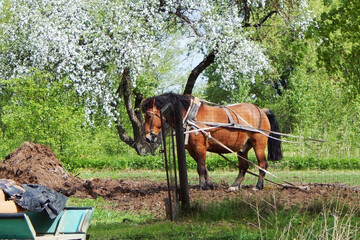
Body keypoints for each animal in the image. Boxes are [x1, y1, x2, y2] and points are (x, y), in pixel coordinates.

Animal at [142, 93, 282, 190]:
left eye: (148, 116)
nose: (148, 137)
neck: (190, 116)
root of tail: (261, 111)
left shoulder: (200, 146)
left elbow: (200, 168)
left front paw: (202, 186)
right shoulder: (192, 150)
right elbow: (204, 167)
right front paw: (209, 184)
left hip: (259, 144)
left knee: (262, 164)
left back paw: (258, 186)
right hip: (243, 148)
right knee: (243, 167)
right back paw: (235, 186)